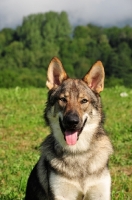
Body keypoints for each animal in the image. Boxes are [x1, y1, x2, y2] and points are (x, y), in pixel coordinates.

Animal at [25, 57, 113, 199]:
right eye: (63, 100)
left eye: (84, 101)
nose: (72, 121)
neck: (78, 153)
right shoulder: (62, 195)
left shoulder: (101, 194)